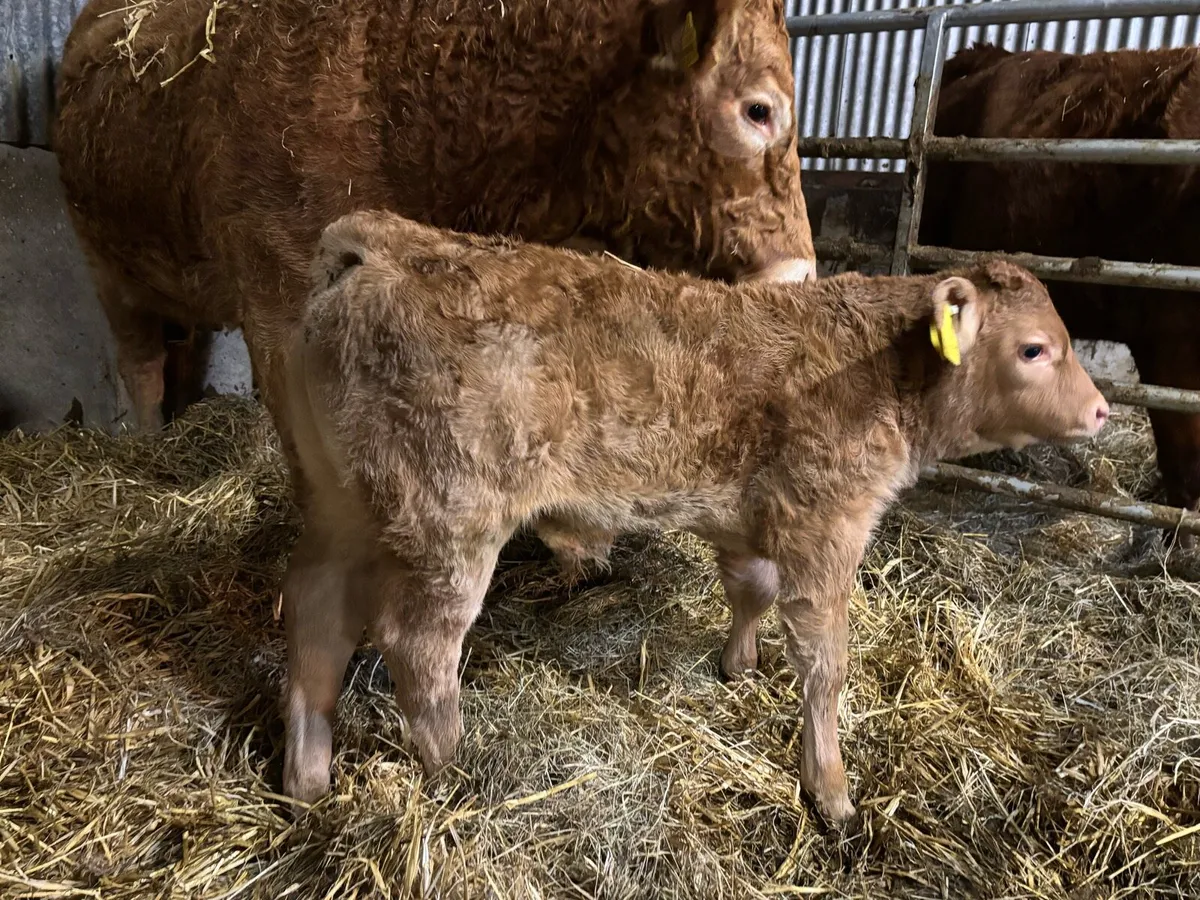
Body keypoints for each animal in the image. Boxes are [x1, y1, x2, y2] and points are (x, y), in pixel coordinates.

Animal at [54, 0, 816, 439]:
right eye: (759, 109)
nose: (801, 273)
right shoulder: (277, 301)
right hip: (103, 260)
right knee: (141, 359)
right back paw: (150, 444)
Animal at [278, 209, 1109, 823]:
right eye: (1035, 349)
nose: (1102, 410)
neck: (875, 364)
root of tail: (384, 239)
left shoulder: (752, 519)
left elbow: (749, 590)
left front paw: (738, 667)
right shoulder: (827, 527)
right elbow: (825, 667)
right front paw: (831, 790)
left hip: (337, 503)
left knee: (316, 620)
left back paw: (307, 780)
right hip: (451, 519)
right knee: (417, 645)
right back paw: (455, 772)